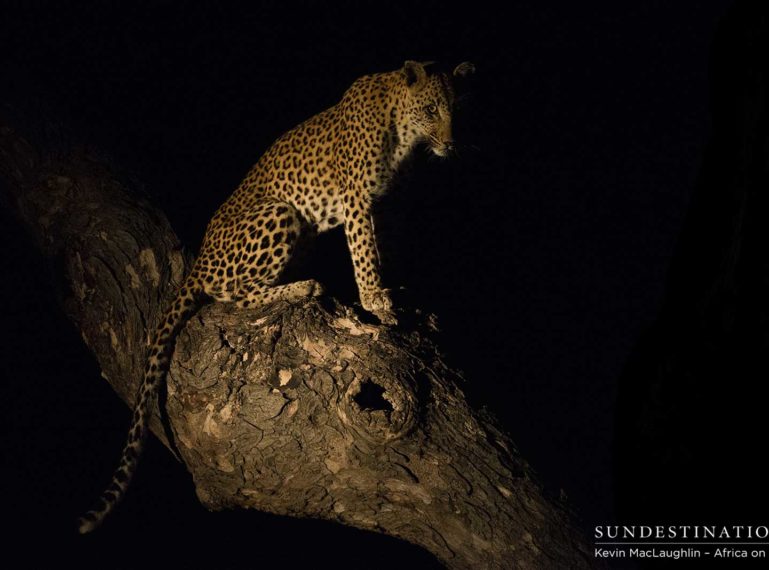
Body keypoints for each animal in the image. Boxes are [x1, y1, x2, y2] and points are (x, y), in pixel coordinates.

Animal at [78, 60, 474, 532]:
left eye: (456, 109)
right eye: (431, 109)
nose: (451, 143)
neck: (404, 136)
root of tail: (199, 261)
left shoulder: (387, 205)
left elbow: (384, 250)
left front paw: (393, 293)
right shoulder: (358, 199)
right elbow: (364, 252)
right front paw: (374, 300)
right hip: (280, 212)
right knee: (230, 293)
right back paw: (302, 287)